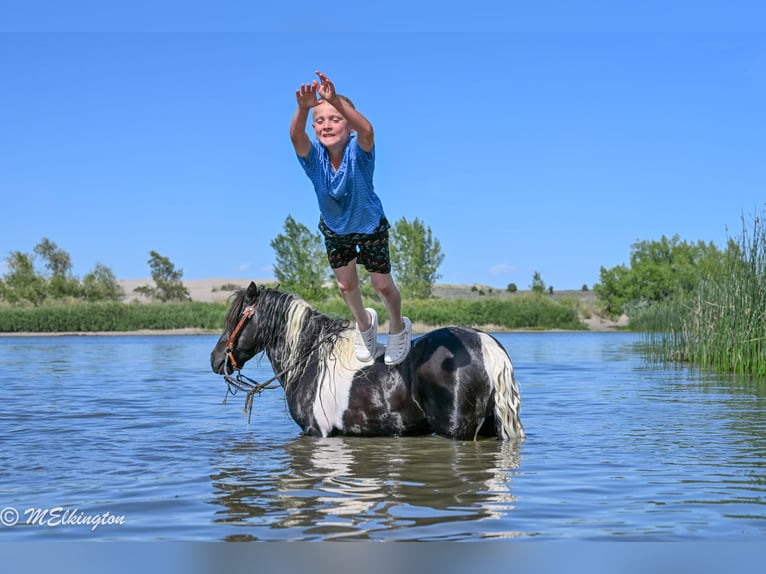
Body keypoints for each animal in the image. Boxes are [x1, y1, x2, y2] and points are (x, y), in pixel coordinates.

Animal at [210, 282, 525, 440]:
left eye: (236, 318)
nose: (216, 359)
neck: (310, 358)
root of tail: (486, 345)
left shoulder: (316, 433)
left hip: (458, 432)